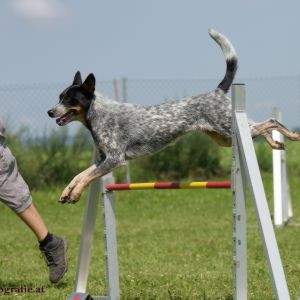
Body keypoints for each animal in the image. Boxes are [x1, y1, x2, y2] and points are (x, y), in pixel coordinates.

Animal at [47, 28, 300, 204]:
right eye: (59, 96)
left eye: (69, 99)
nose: (49, 111)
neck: (97, 115)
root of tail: (217, 91)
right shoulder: (102, 160)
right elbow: (79, 175)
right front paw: (67, 192)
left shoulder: (115, 159)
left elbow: (86, 177)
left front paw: (75, 194)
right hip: (226, 137)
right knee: (259, 126)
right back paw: (277, 143)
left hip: (229, 130)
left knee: (270, 121)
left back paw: (291, 136)